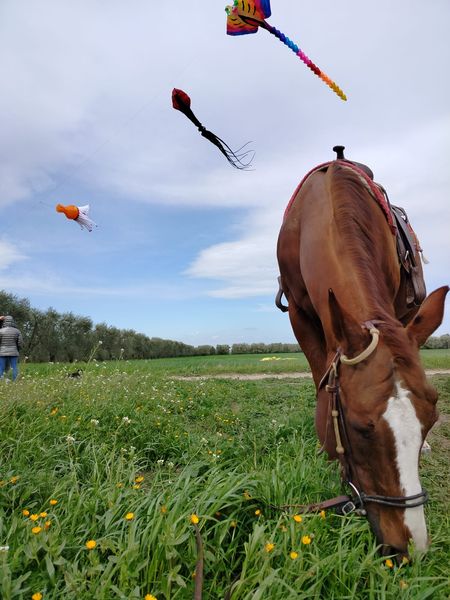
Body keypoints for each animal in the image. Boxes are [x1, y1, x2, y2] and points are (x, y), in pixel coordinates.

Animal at [276, 151, 448, 556]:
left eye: (431, 419)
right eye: (358, 428)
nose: (409, 548)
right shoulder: (298, 312)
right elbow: (319, 374)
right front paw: (326, 448)